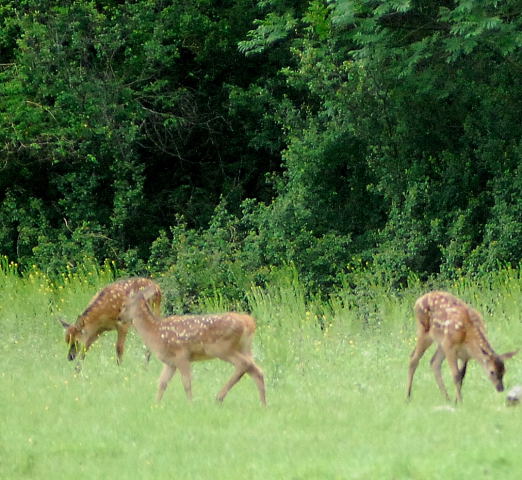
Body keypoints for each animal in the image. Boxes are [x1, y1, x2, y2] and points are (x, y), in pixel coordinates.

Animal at [120, 286, 266, 406]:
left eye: (125, 305)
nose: (120, 317)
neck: (155, 332)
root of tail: (248, 322)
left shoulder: (182, 354)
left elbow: (186, 383)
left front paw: (191, 404)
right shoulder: (170, 362)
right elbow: (162, 383)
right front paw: (156, 404)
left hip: (222, 348)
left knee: (243, 364)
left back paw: (219, 397)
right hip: (245, 347)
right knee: (257, 370)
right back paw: (263, 404)